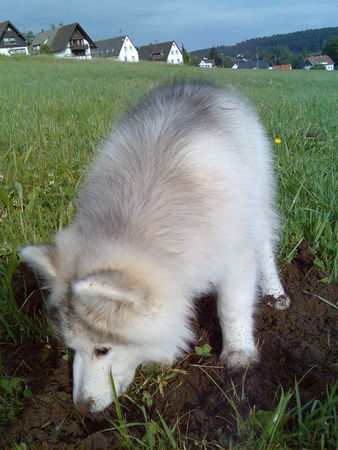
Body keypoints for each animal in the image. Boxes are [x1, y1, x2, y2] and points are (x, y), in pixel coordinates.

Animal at [21, 82, 290, 414]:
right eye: (72, 347)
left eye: (102, 350)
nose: (81, 407)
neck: (132, 221)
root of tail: (198, 84)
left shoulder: (235, 251)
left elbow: (232, 306)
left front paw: (239, 352)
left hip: (257, 193)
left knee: (264, 244)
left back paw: (275, 292)